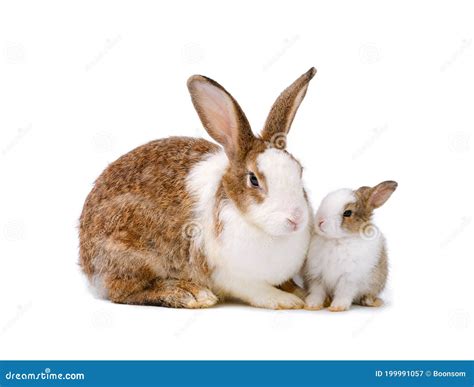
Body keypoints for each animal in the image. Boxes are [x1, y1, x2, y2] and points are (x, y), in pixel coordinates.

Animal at [304, 181, 396, 312]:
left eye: (347, 213)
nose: (320, 221)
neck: (337, 240)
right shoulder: (317, 275)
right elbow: (317, 291)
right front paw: (312, 305)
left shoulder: (349, 278)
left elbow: (343, 292)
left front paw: (337, 307)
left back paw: (371, 301)